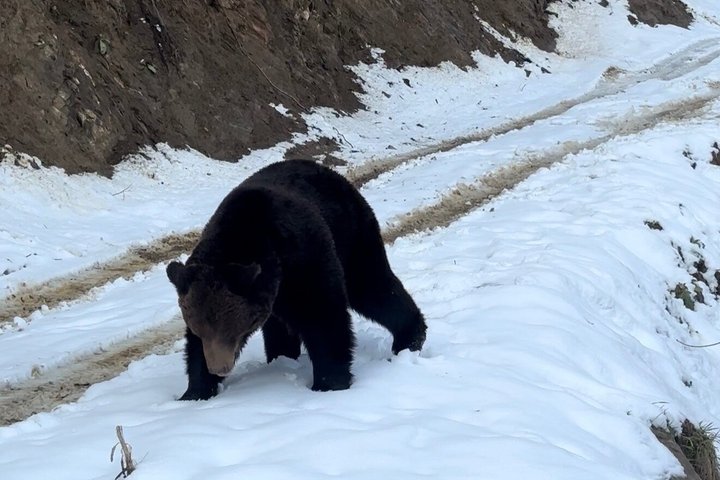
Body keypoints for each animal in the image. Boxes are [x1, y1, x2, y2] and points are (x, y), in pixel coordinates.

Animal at [166, 159, 427, 400]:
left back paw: (410, 337)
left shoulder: (305, 259)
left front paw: (329, 382)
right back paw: (281, 357)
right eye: (199, 329)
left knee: (372, 287)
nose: (219, 368)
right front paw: (195, 391)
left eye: (232, 330)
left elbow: (324, 318)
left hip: (351, 235)